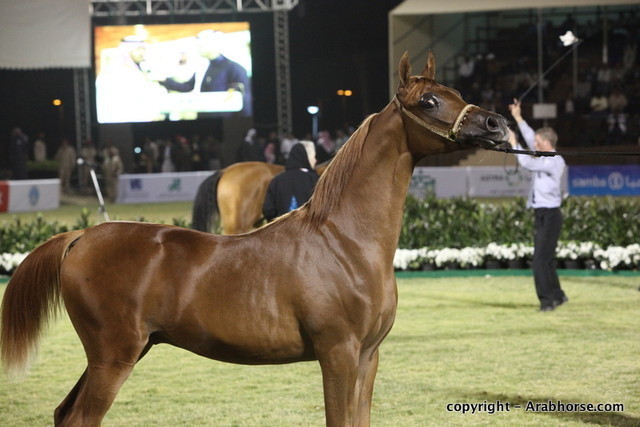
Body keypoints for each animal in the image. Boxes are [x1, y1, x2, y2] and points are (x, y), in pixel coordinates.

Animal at [0, 51, 509, 426]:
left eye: (456, 92)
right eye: (429, 101)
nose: (496, 125)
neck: (344, 242)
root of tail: (83, 235)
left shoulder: (368, 357)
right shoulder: (338, 355)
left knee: (64, 413)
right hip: (113, 357)